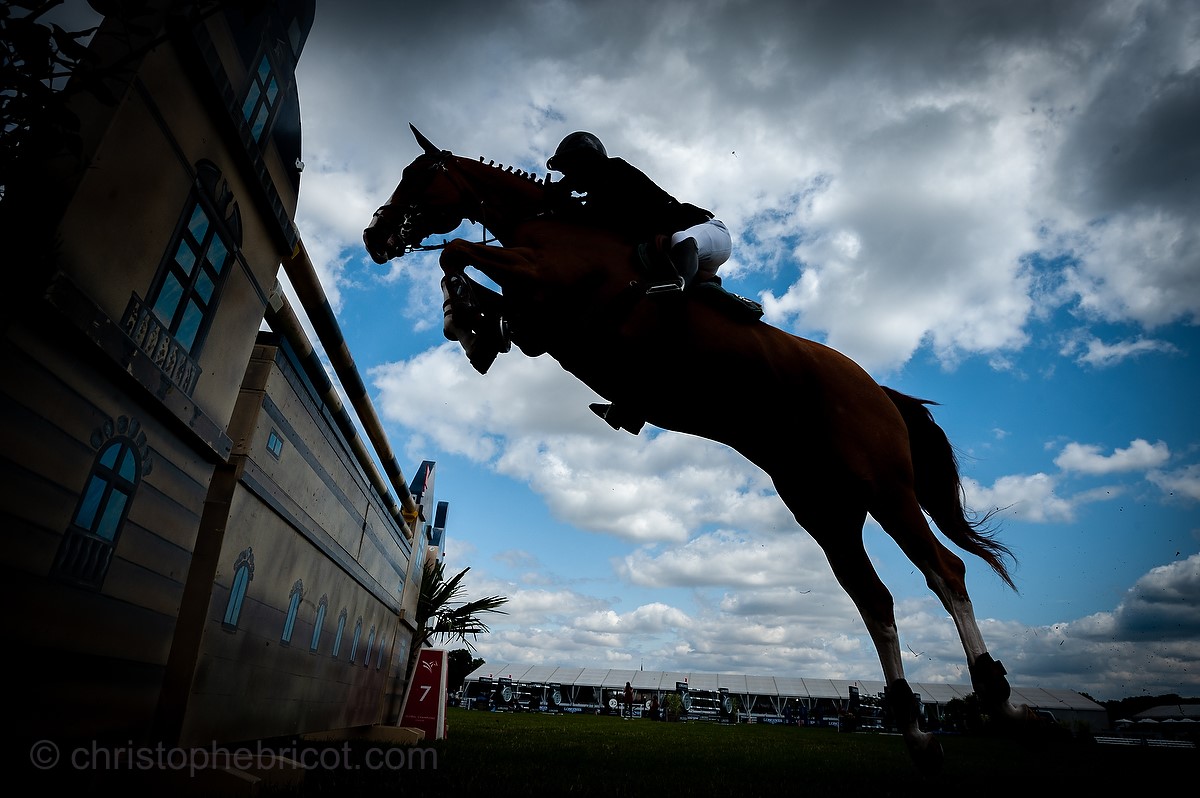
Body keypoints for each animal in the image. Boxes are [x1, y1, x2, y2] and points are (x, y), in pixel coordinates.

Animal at [360, 126, 1036, 772]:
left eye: (417, 176)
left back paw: (998, 703)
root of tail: (879, 390)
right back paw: (919, 736)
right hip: (824, 510)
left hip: (884, 488)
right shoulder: (540, 321)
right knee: (875, 599)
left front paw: (464, 317)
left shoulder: (550, 290)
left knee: (945, 572)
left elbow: (459, 252)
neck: (553, 226)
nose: (373, 235)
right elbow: (481, 291)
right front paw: (470, 327)